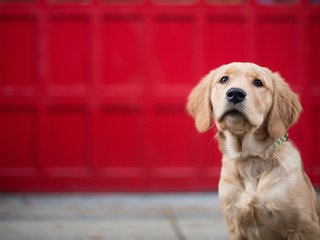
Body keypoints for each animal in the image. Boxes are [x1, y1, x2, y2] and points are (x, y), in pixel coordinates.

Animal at [186, 62, 320, 239]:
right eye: (224, 79)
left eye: (258, 82)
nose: (235, 94)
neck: (249, 159)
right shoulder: (235, 226)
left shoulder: (304, 227)